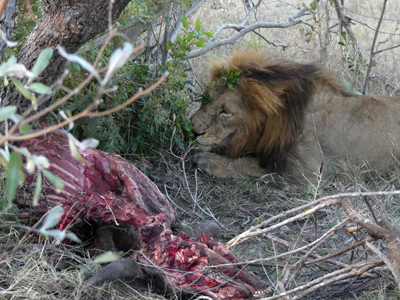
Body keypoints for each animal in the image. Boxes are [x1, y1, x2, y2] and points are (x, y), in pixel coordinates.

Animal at [190, 50, 400, 184]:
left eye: (225, 111)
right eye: (205, 99)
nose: (193, 131)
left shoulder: (309, 172)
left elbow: (252, 164)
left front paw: (210, 161)